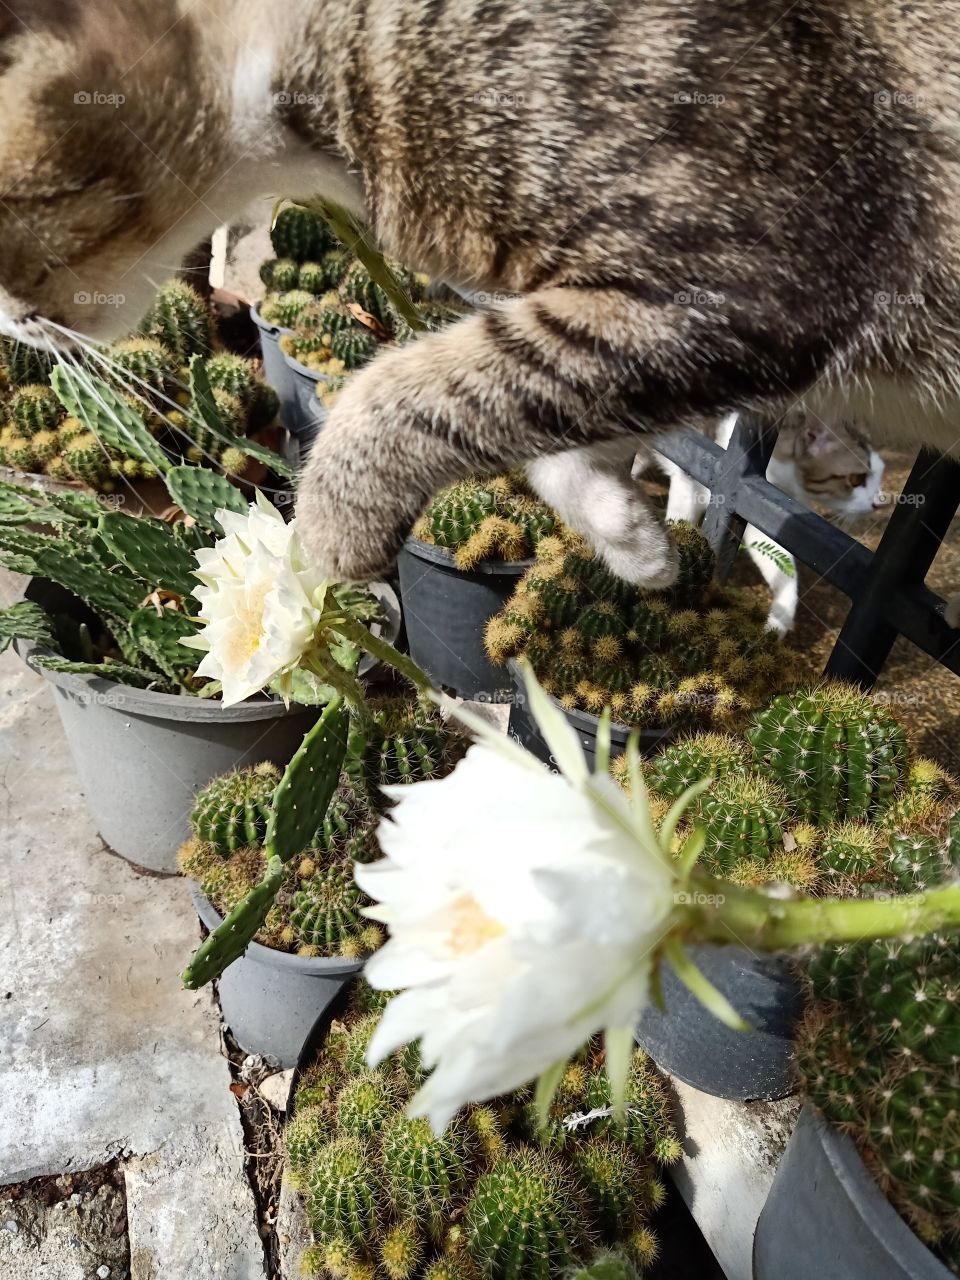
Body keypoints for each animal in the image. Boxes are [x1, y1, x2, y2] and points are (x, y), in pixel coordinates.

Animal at [1, 2, 960, 583]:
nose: (7, 325)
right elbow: (551, 422)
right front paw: (628, 537)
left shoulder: (745, 281)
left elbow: (401, 388)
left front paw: (322, 542)